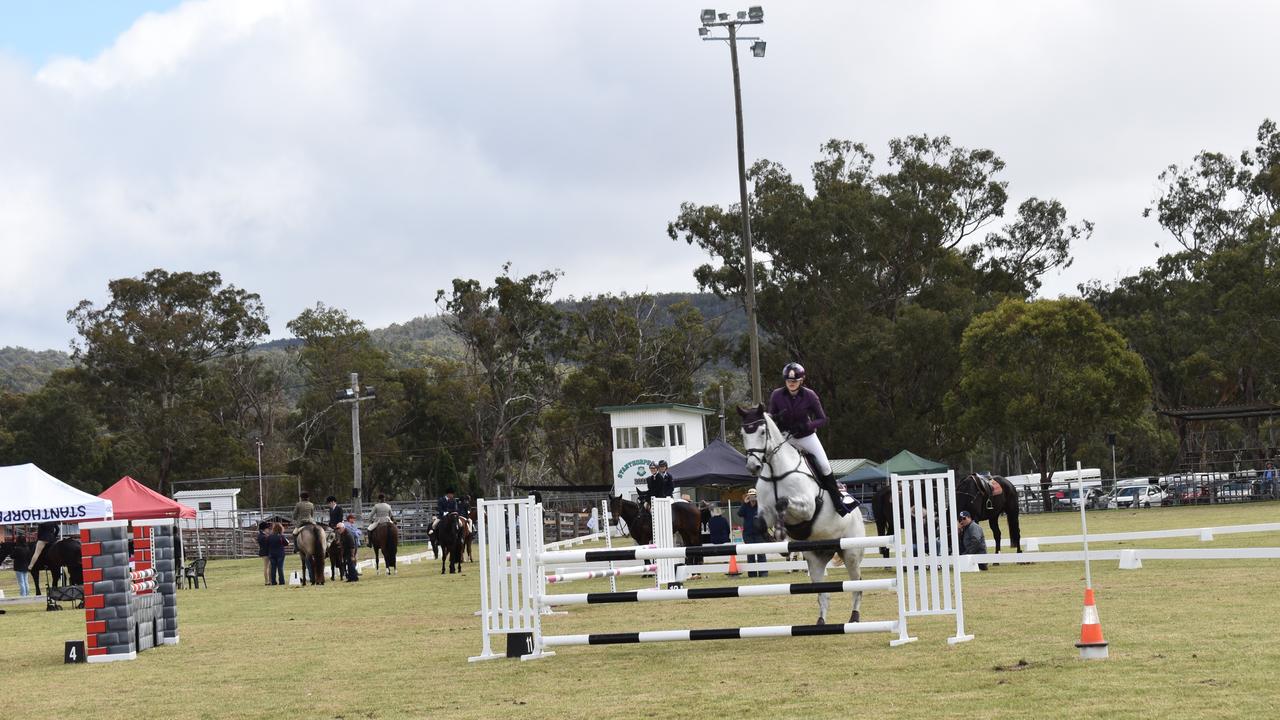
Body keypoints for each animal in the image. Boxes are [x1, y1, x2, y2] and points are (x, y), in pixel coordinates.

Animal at [742, 404, 870, 622]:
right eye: (743, 433)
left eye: (762, 432)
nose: (753, 466)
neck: (776, 472)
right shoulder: (764, 510)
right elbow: (759, 522)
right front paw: (776, 540)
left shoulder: (807, 508)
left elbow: (783, 503)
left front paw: (781, 533)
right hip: (816, 558)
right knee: (823, 593)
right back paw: (821, 621)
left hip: (851, 552)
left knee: (857, 586)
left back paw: (854, 617)